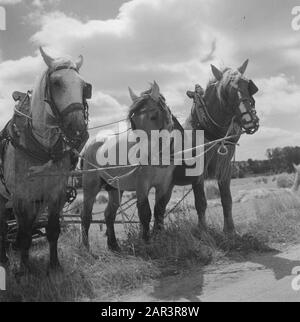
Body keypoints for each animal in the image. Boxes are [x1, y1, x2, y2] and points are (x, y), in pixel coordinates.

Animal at [0, 46, 91, 270]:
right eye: (56, 83)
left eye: (84, 86)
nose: (78, 129)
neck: (42, 147)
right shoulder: (20, 198)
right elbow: (24, 234)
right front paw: (24, 270)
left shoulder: (55, 194)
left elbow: (52, 229)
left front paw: (54, 265)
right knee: (4, 227)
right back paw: (5, 259)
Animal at [81, 82, 178, 250]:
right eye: (134, 123)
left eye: (154, 116)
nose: (146, 155)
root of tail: (92, 143)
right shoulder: (142, 185)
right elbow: (145, 213)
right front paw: (146, 242)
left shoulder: (165, 186)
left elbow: (159, 211)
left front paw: (159, 238)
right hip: (90, 186)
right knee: (86, 215)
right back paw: (85, 248)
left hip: (115, 188)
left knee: (109, 214)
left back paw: (113, 245)